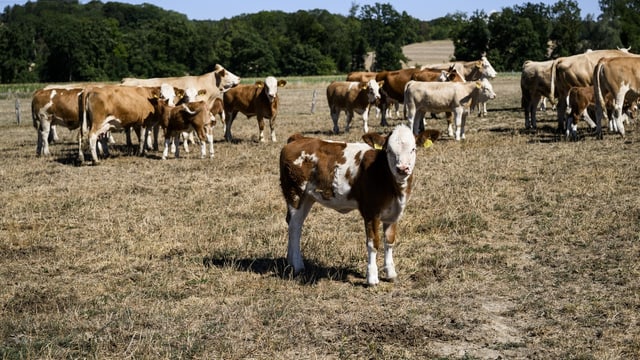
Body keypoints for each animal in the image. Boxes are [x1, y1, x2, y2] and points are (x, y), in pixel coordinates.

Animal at [280, 125, 440, 286]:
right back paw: (298, 265)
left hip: (308, 197)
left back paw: (290, 261)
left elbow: (389, 241)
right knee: (295, 226)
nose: (402, 168)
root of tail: (299, 138)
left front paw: (391, 273)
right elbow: (373, 243)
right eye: (388, 150)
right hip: (295, 193)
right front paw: (372, 277)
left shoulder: (394, 213)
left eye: (413, 149)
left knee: (295, 224)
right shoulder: (371, 212)